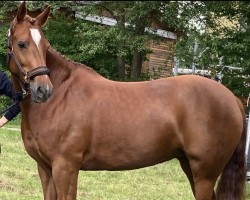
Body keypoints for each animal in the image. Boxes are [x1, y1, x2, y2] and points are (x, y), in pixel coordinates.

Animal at [7, 1, 246, 200]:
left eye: (45, 46)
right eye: (21, 44)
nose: (43, 90)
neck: (61, 97)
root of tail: (233, 99)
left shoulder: (65, 167)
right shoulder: (45, 168)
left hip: (204, 173)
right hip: (189, 165)